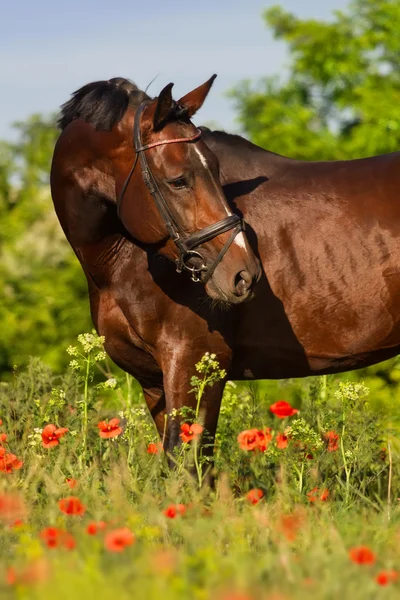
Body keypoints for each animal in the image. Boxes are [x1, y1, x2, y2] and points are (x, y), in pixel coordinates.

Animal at [51, 75, 400, 460]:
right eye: (178, 180)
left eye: (217, 171)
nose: (245, 274)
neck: (123, 260)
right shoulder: (154, 382)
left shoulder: (195, 364)